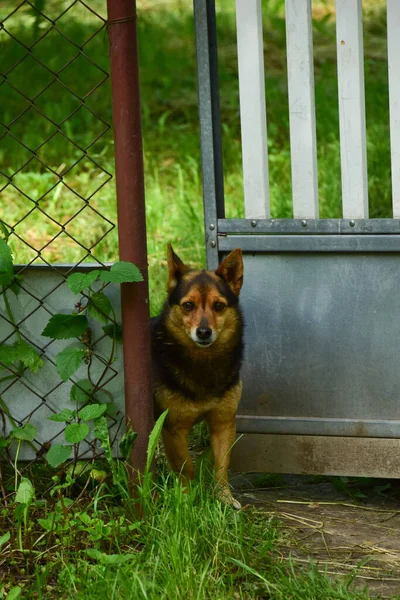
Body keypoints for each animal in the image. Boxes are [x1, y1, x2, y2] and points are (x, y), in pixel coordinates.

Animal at [151, 241, 242, 508]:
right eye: (187, 305)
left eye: (219, 305)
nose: (203, 332)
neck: (203, 363)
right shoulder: (173, 428)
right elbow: (187, 469)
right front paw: (186, 500)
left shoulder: (224, 422)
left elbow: (222, 466)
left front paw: (223, 497)